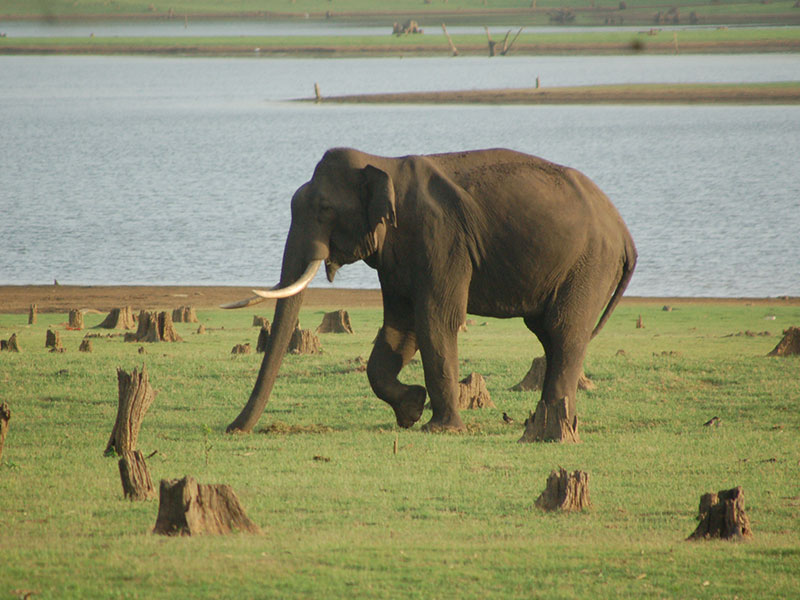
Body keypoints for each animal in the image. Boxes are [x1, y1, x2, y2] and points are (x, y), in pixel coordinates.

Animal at [225, 148, 636, 442]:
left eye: (324, 208)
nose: (232, 429)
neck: (384, 164)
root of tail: (625, 233)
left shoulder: (441, 238)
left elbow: (435, 320)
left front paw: (439, 427)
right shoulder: (396, 257)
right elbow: (399, 327)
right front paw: (411, 408)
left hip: (589, 264)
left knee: (564, 331)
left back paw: (548, 428)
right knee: (549, 334)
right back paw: (548, 422)